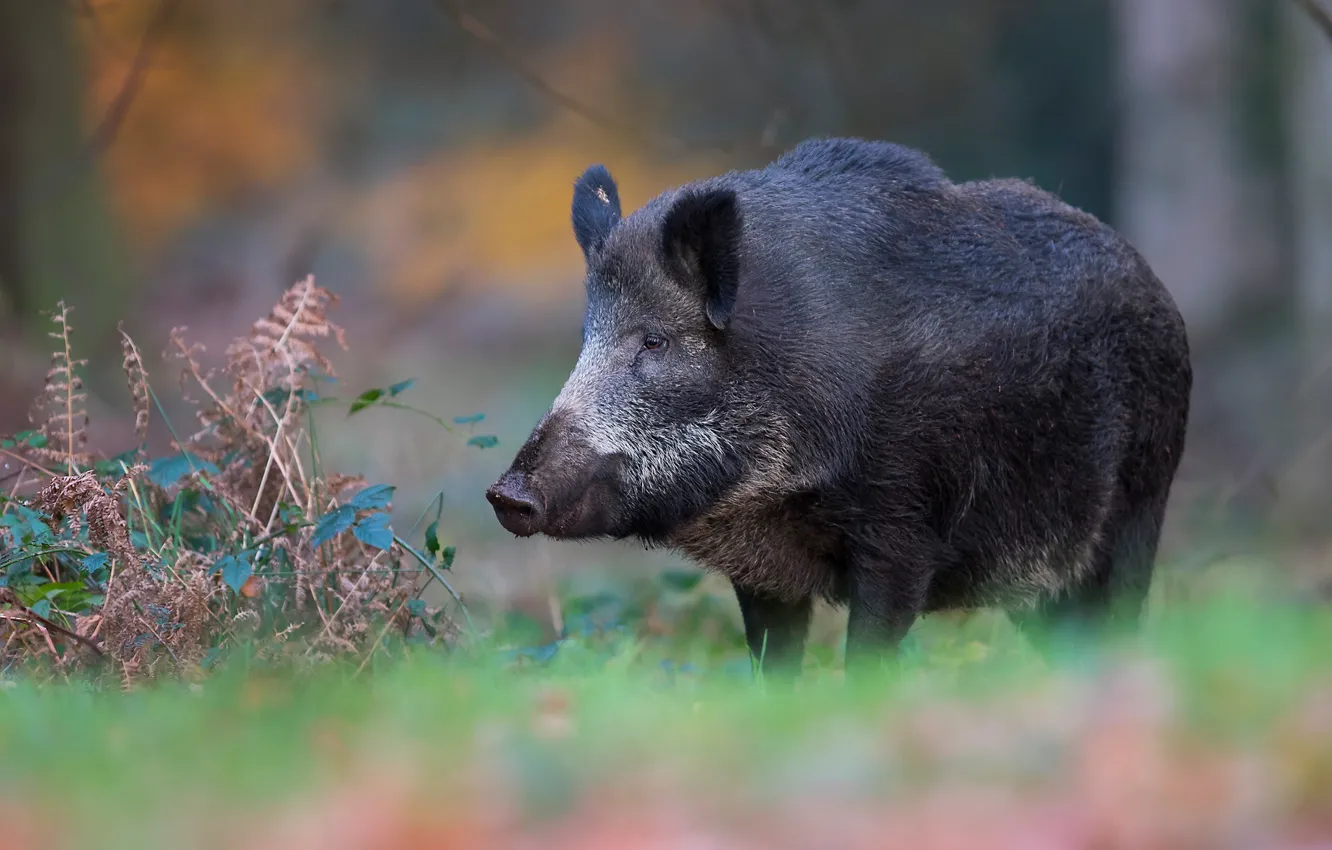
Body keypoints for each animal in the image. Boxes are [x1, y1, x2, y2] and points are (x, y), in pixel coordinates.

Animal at [485, 137, 1192, 678]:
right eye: (586, 337)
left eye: (654, 341)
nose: (505, 494)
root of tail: (1158, 288)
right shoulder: (764, 573)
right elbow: (773, 664)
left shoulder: (901, 530)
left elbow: (869, 652)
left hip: (1138, 506)